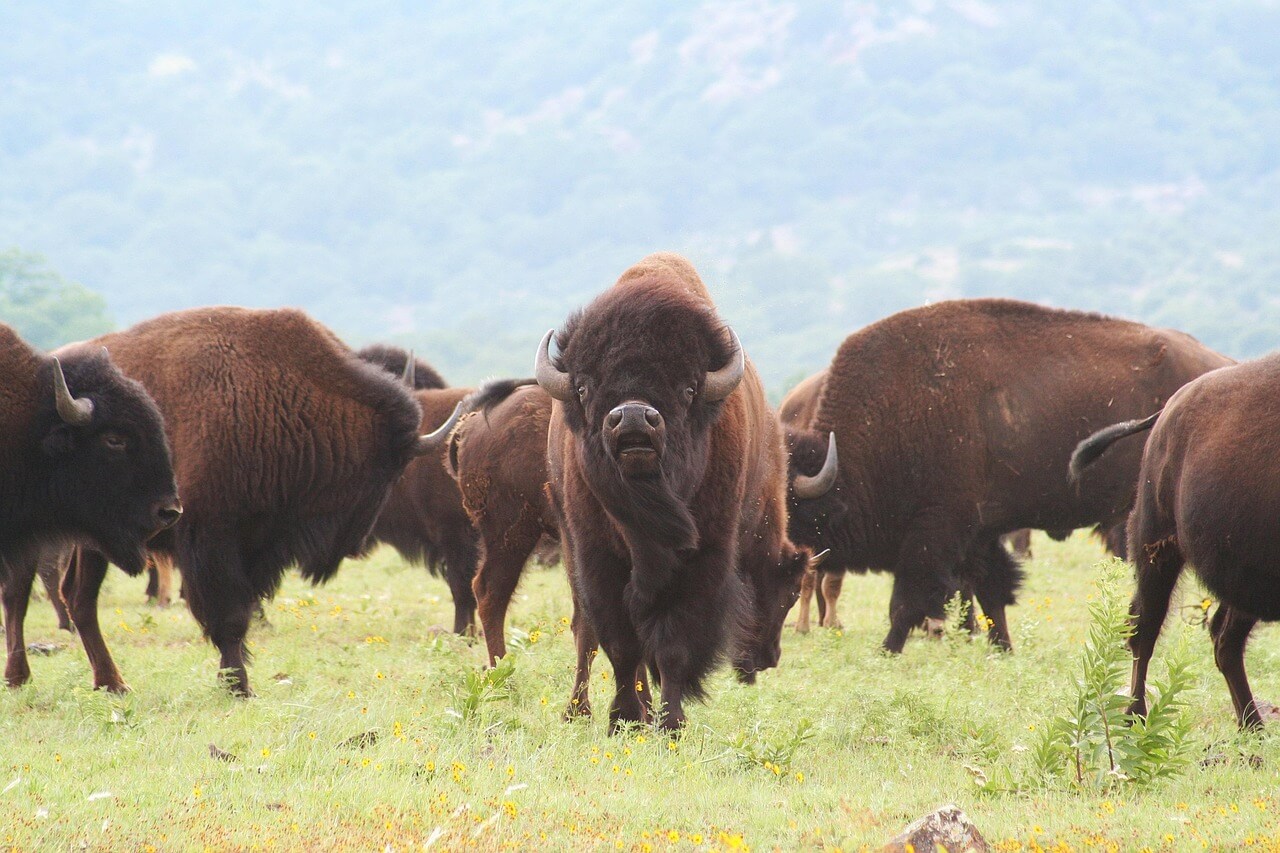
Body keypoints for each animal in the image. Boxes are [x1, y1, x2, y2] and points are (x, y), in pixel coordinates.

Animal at [538, 252, 819, 732]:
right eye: (584, 386)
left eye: (688, 388)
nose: (633, 417)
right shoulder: (598, 559)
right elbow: (621, 644)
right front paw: (623, 718)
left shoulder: (702, 559)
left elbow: (671, 646)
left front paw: (670, 723)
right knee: (587, 631)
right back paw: (582, 711)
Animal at [784, 299, 1231, 654]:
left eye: (790, 509)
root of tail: (1222, 365)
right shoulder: (978, 534)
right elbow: (990, 593)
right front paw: (1002, 647)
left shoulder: (935, 531)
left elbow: (908, 601)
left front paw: (888, 649)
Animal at [1070, 355, 1270, 729]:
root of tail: (1167, 411)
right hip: (1157, 550)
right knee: (1145, 629)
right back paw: (1136, 716)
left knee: (1223, 637)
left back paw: (1252, 726)